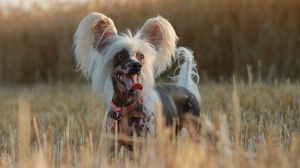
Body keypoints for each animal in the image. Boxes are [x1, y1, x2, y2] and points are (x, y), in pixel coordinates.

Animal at [74, 12, 203, 156]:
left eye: (141, 56)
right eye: (120, 55)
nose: (137, 66)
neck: (126, 107)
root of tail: (185, 88)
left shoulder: (145, 149)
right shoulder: (111, 148)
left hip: (195, 132)